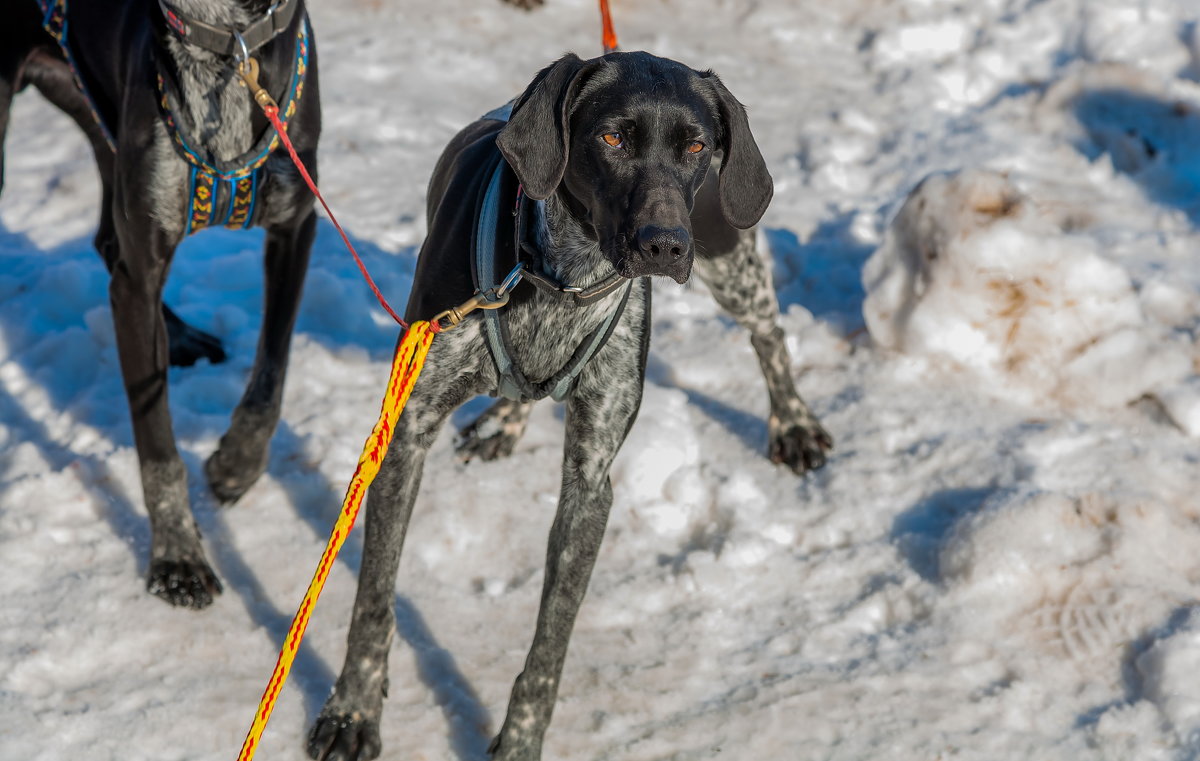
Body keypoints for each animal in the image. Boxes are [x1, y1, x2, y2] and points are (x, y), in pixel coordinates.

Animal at [0, 0, 324, 604]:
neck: (221, 43)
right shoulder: (138, 281)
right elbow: (157, 444)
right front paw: (177, 557)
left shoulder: (296, 227)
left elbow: (272, 371)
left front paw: (237, 462)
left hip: (97, 116)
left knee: (109, 242)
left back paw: (180, 335)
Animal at [309, 48, 830, 758]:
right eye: (611, 138)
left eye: (696, 146)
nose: (665, 245)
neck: (560, 284)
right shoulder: (405, 435)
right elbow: (374, 600)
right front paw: (354, 710)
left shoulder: (590, 482)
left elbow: (551, 641)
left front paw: (520, 739)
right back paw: (506, 418)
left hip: (730, 254)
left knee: (769, 332)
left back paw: (793, 422)